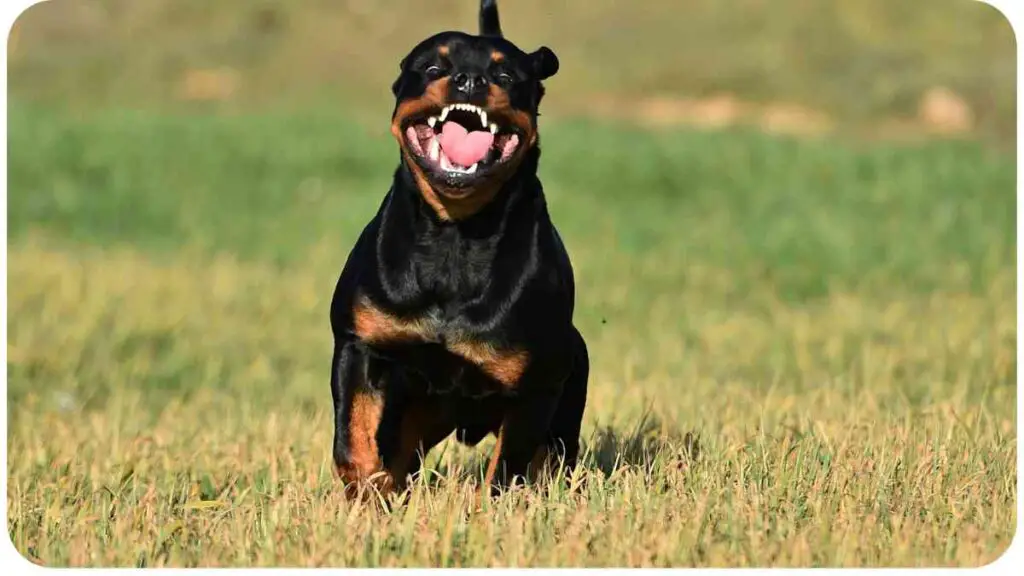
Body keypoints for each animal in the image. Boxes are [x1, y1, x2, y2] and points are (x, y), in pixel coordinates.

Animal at [323, 0, 589, 494]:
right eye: (433, 67)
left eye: (506, 75)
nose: (470, 80)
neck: (456, 236)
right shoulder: (360, 345)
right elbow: (354, 442)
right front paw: (369, 494)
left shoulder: (537, 385)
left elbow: (507, 471)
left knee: (552, 456)